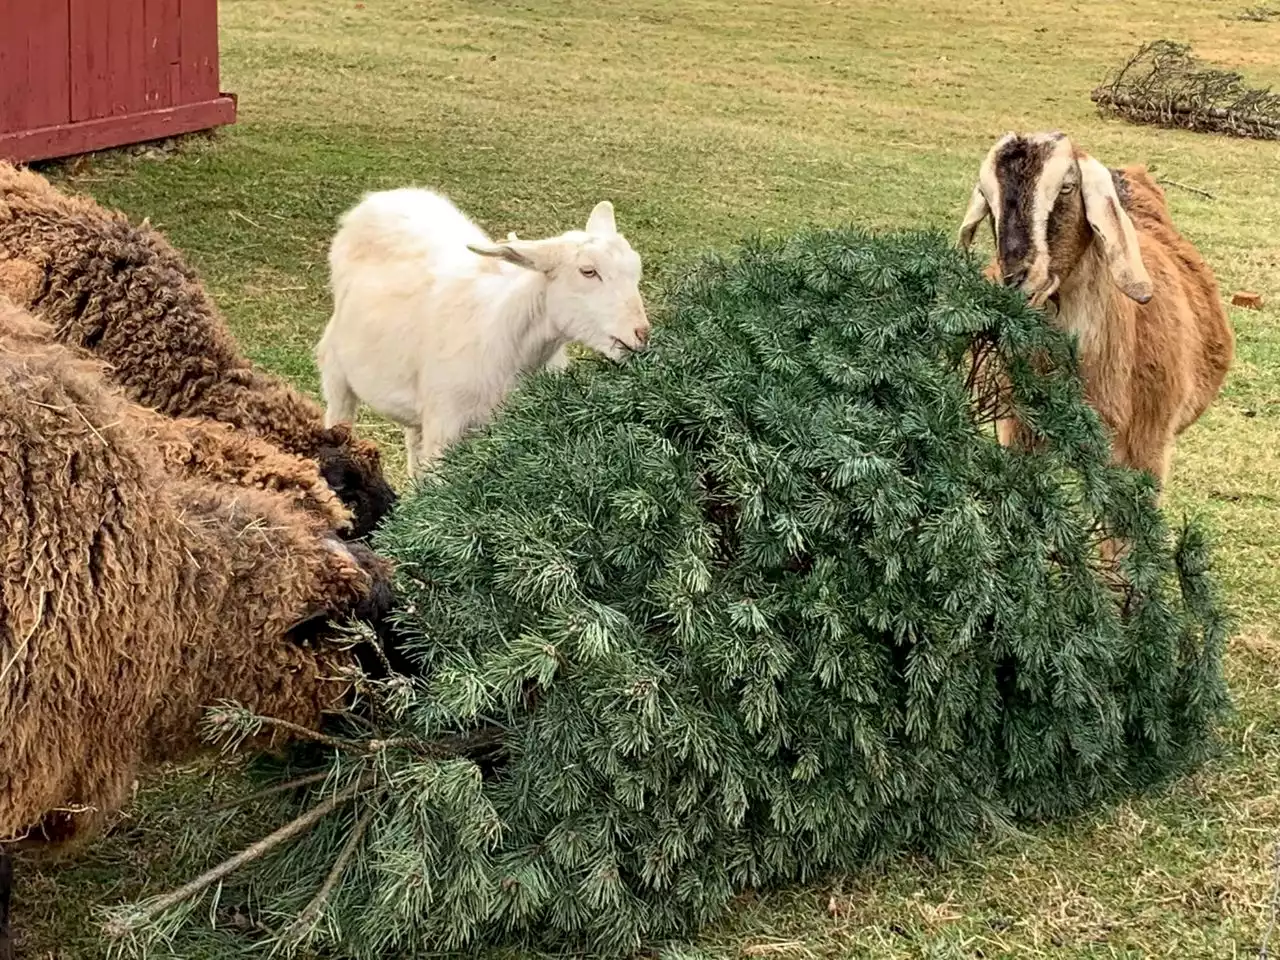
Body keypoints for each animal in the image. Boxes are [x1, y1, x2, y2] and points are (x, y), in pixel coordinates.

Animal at [314, 189, 645, 476]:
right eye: (588, 271)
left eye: (636, 269)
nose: (641, 333)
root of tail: (383, 197)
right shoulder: (445, 425)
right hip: (337, 369)